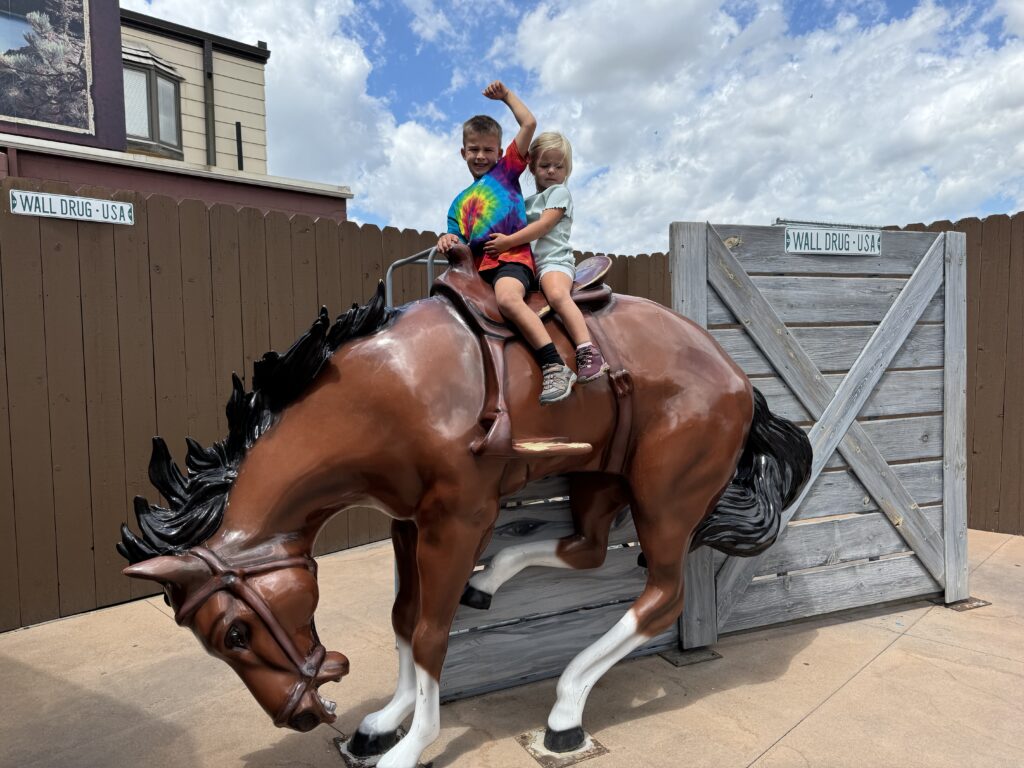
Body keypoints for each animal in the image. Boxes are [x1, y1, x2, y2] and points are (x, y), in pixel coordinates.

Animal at [117, 246, 806, 768]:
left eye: (235, 633)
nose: (302, 714)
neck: (385, 391)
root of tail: (740, 379)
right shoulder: (408, 520)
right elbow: (403, 615)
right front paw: (384, 722)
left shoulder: (459, 517)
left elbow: (430, 632)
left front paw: (410, 746)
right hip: (601, 475)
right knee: (586, 548)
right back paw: (494, 582)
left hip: (666, 496)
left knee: (663, 595)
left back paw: (565, 709)